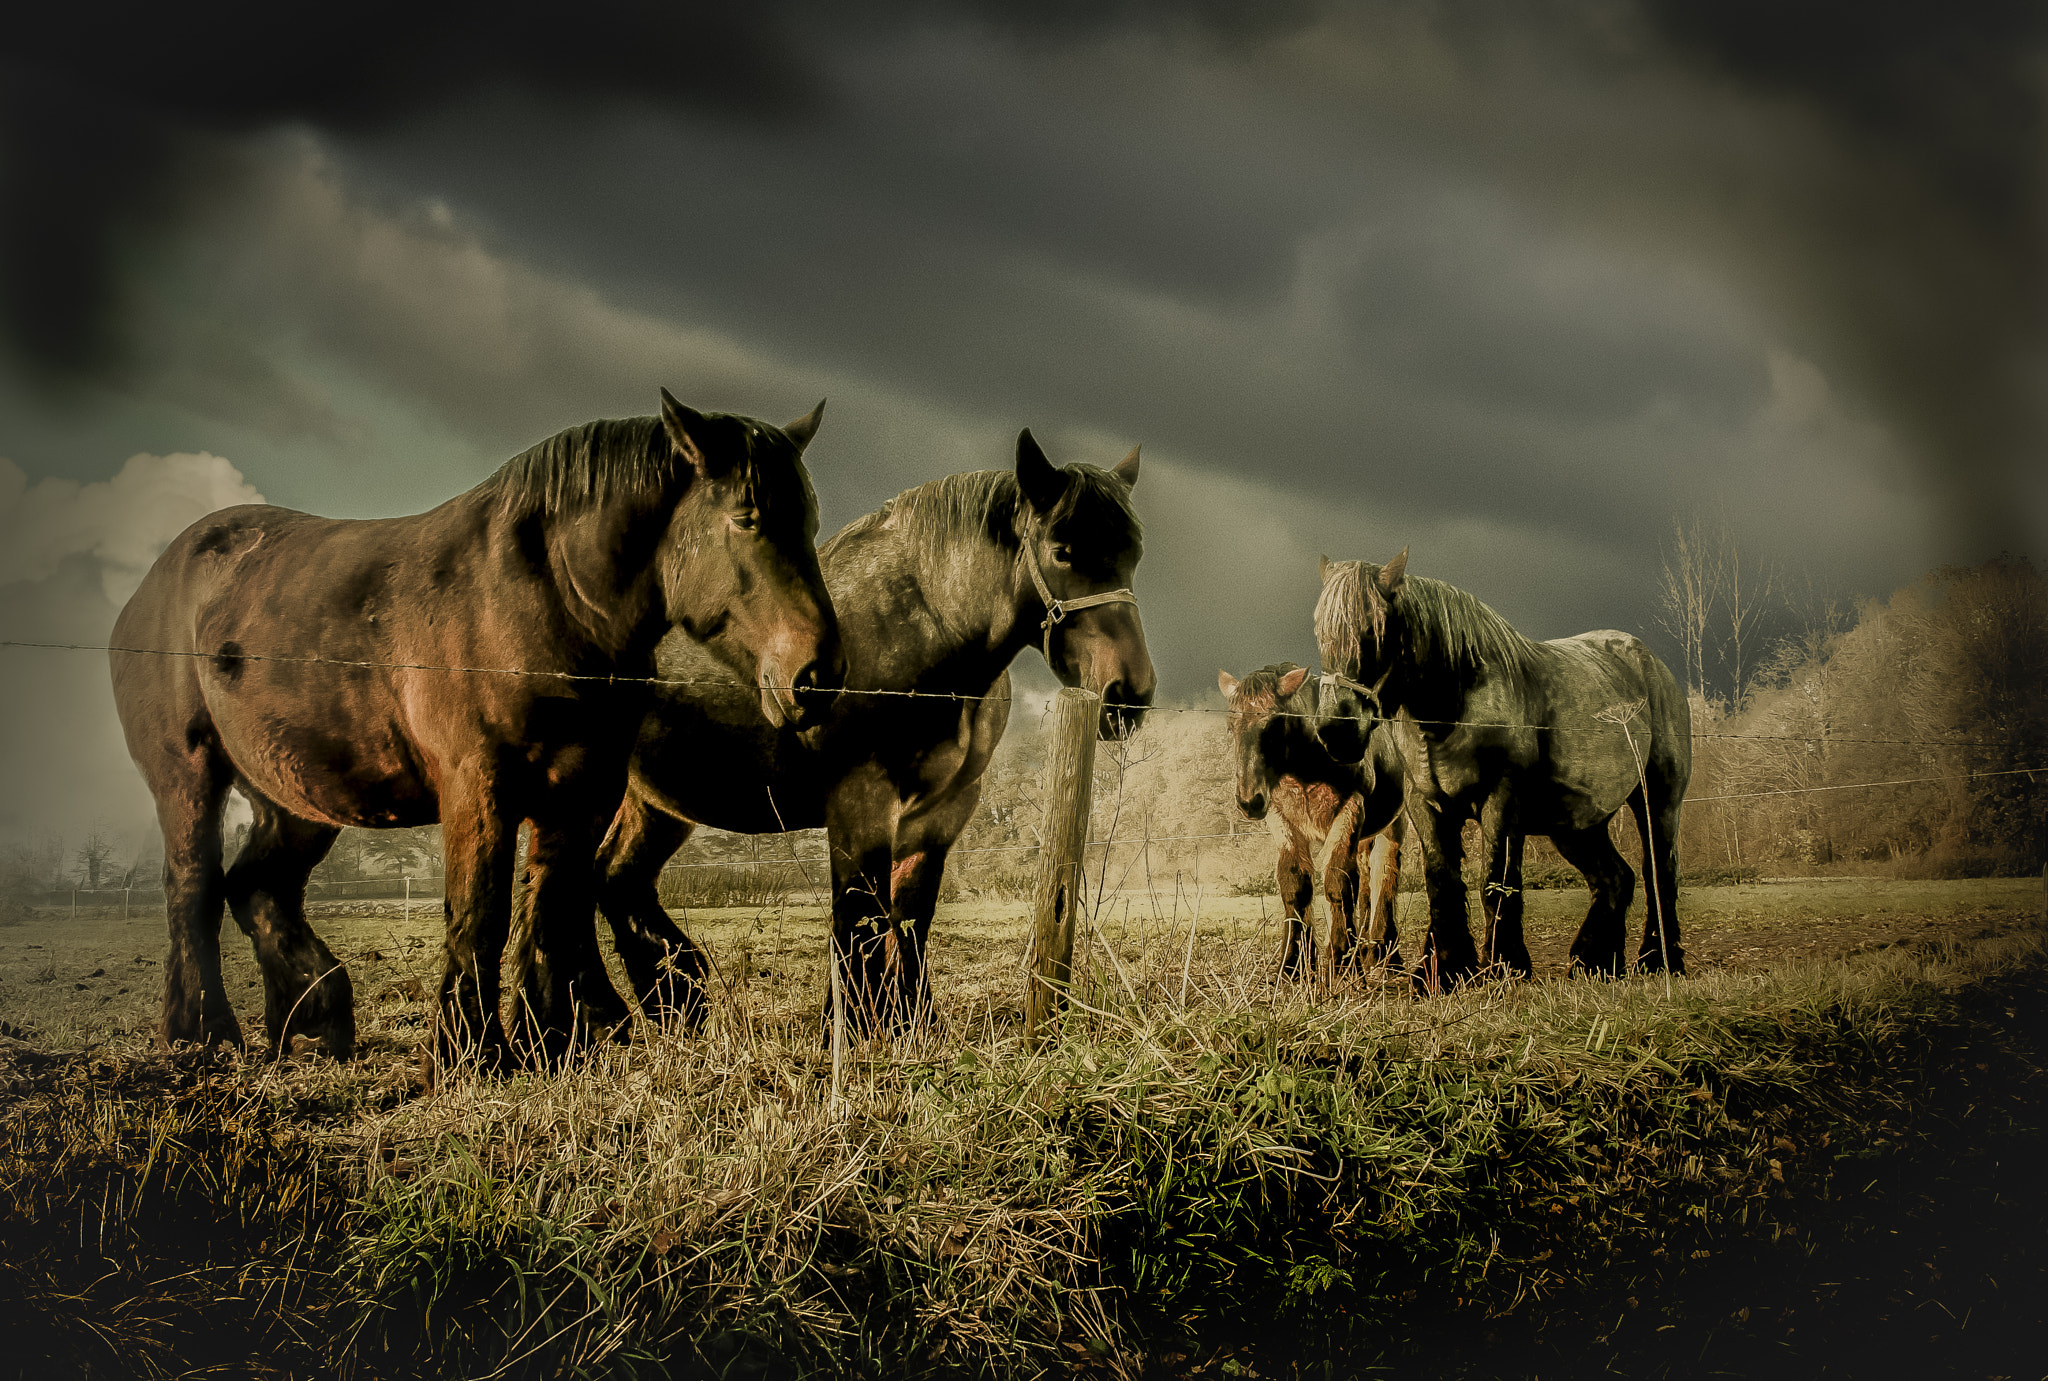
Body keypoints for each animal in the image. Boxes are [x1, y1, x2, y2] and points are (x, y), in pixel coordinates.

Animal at [110, 390, 844, 1072]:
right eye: (746, 517)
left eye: (808, 521)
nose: (817, 673)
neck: (538, 597)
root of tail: (157, 581)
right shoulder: (478, 785)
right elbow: (481, 912)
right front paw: (472, 1051)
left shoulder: (585, 787)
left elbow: (553, 904)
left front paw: (557, 1040)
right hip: (189, 777)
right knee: (193, 888)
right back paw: (201, 1035)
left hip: (296, 797)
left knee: (261, 888)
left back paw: (313, 1027)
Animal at [564, 429, 1154, 1033]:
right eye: (1062, 551)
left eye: (1133, 553)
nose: (1127, 693)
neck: (919, 635)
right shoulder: (861, 802)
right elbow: (859, 920)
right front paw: (849, 1029)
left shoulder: (942, 812)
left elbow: (909, 919)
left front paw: (912, 1023)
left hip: (657, 802)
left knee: (618, 877)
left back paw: (673, 1003)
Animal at [1218, 663, 1407, 979]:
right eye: (1231, 726)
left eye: (1274, 724)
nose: (1248, 800)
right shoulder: (1282, 818)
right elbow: (1296, 884)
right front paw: (1293, 963)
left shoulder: (1350, 809)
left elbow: (1338, 881)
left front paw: (1342, 960)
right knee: (1365, 879)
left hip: (1391, 826)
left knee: (1384, 874)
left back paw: (1384, 953)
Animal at [1309, 550, 1689, 986]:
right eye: (1319, 630)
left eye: (1375, 627)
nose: (1336, 730)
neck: (1453, 706)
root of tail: (1652, 665)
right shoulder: (1427, 805)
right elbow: (1441, 881)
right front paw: (1445, 970)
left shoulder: (1502, 802)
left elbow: (1496, 880)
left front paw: (1506, 965)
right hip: (1577, 825)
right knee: (1615, 879)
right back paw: (1594, 962)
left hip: (1657, 802)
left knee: (1659, 873)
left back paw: (1659, 960)